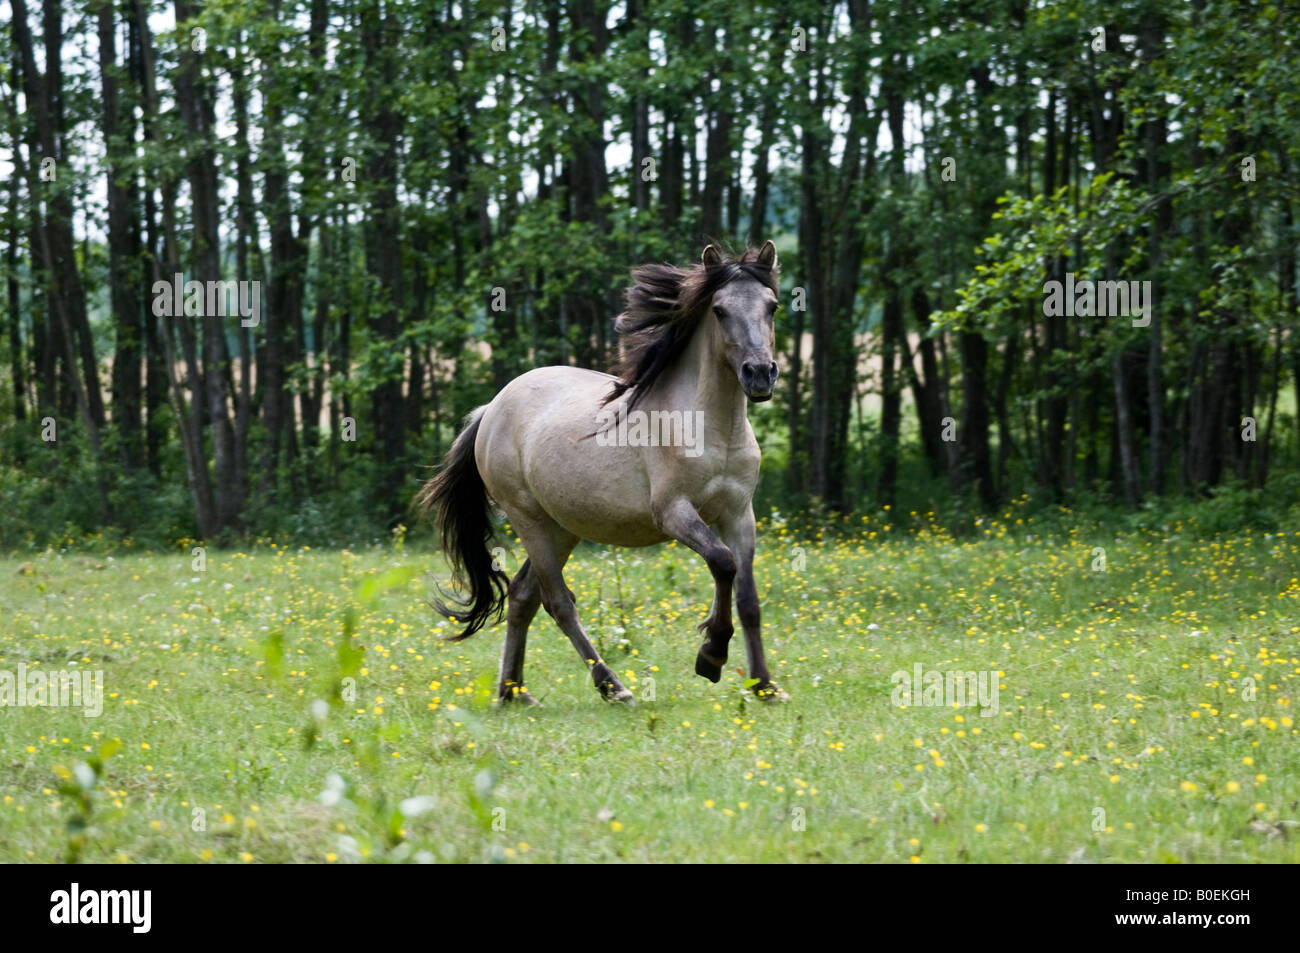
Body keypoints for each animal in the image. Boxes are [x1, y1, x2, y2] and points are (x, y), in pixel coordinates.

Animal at [415, 241, 788, 706]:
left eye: (772, 306)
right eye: (719, 310)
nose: (760, 374)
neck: (710, 427)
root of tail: (491, 410)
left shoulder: (739, 515)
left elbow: (748, 599)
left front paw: (766, 687)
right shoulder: (674, 512)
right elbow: (722, 563)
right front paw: (711, 656)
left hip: (560, 528)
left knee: (522, 597)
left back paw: (513, 692)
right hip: (530, 520)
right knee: (558, 602)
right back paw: (614, 686)